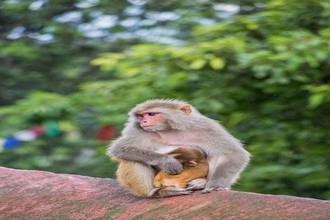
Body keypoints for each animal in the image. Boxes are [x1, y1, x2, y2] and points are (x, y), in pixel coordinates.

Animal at [107, 99, 250, 197]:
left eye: (151, 114)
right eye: (141, 116)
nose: (144, 122)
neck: (169, 130)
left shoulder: (206, 127)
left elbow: (234, 152)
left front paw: (215, 185)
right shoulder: (137, 130)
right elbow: (120, 148)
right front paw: (168, 161)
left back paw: (201, 182)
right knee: (131, 160)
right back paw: (157, 192)